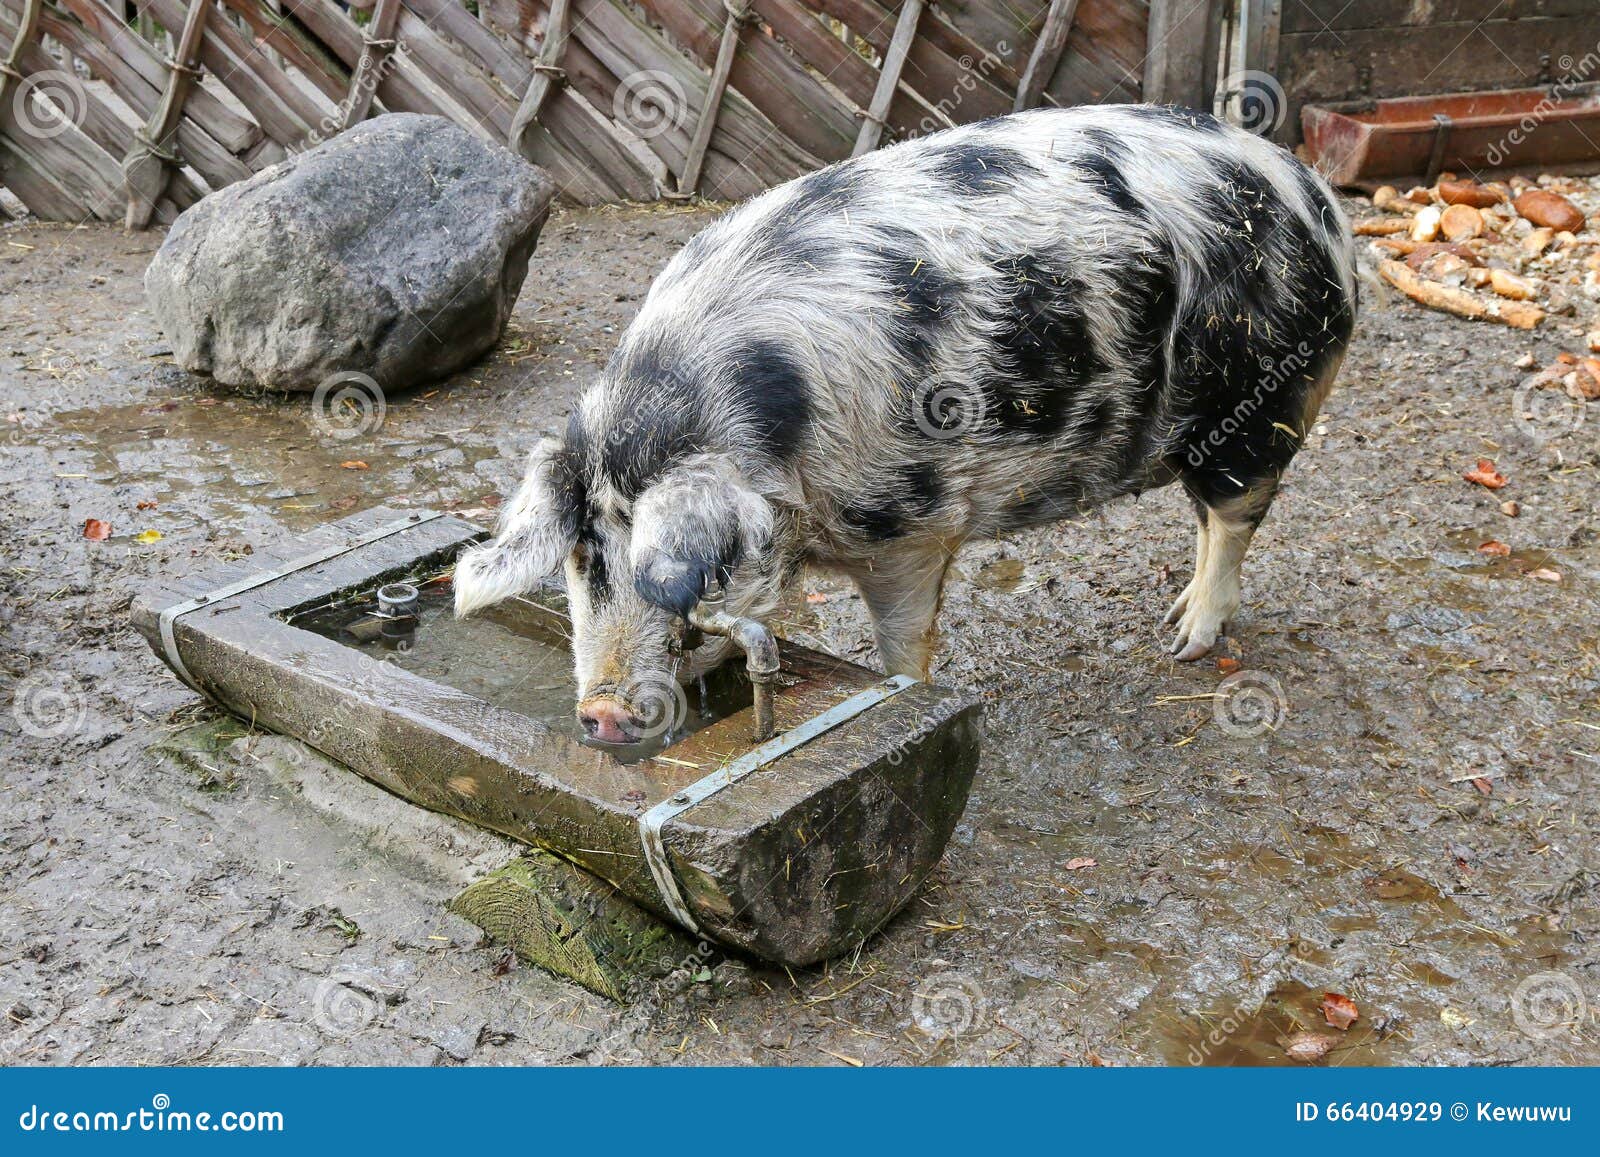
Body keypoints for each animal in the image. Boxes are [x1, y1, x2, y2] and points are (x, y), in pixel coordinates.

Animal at [451, 104, 1350, 745]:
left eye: (682, 564)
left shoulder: (912, 529)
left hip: (1266, 401)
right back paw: (1173, 616)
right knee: (1204, 517)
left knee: (1235, 517)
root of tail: (1314, 195)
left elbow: (903, 643)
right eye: (582, 557)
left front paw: (904, 701)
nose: (600, 713)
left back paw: (1186, 643)